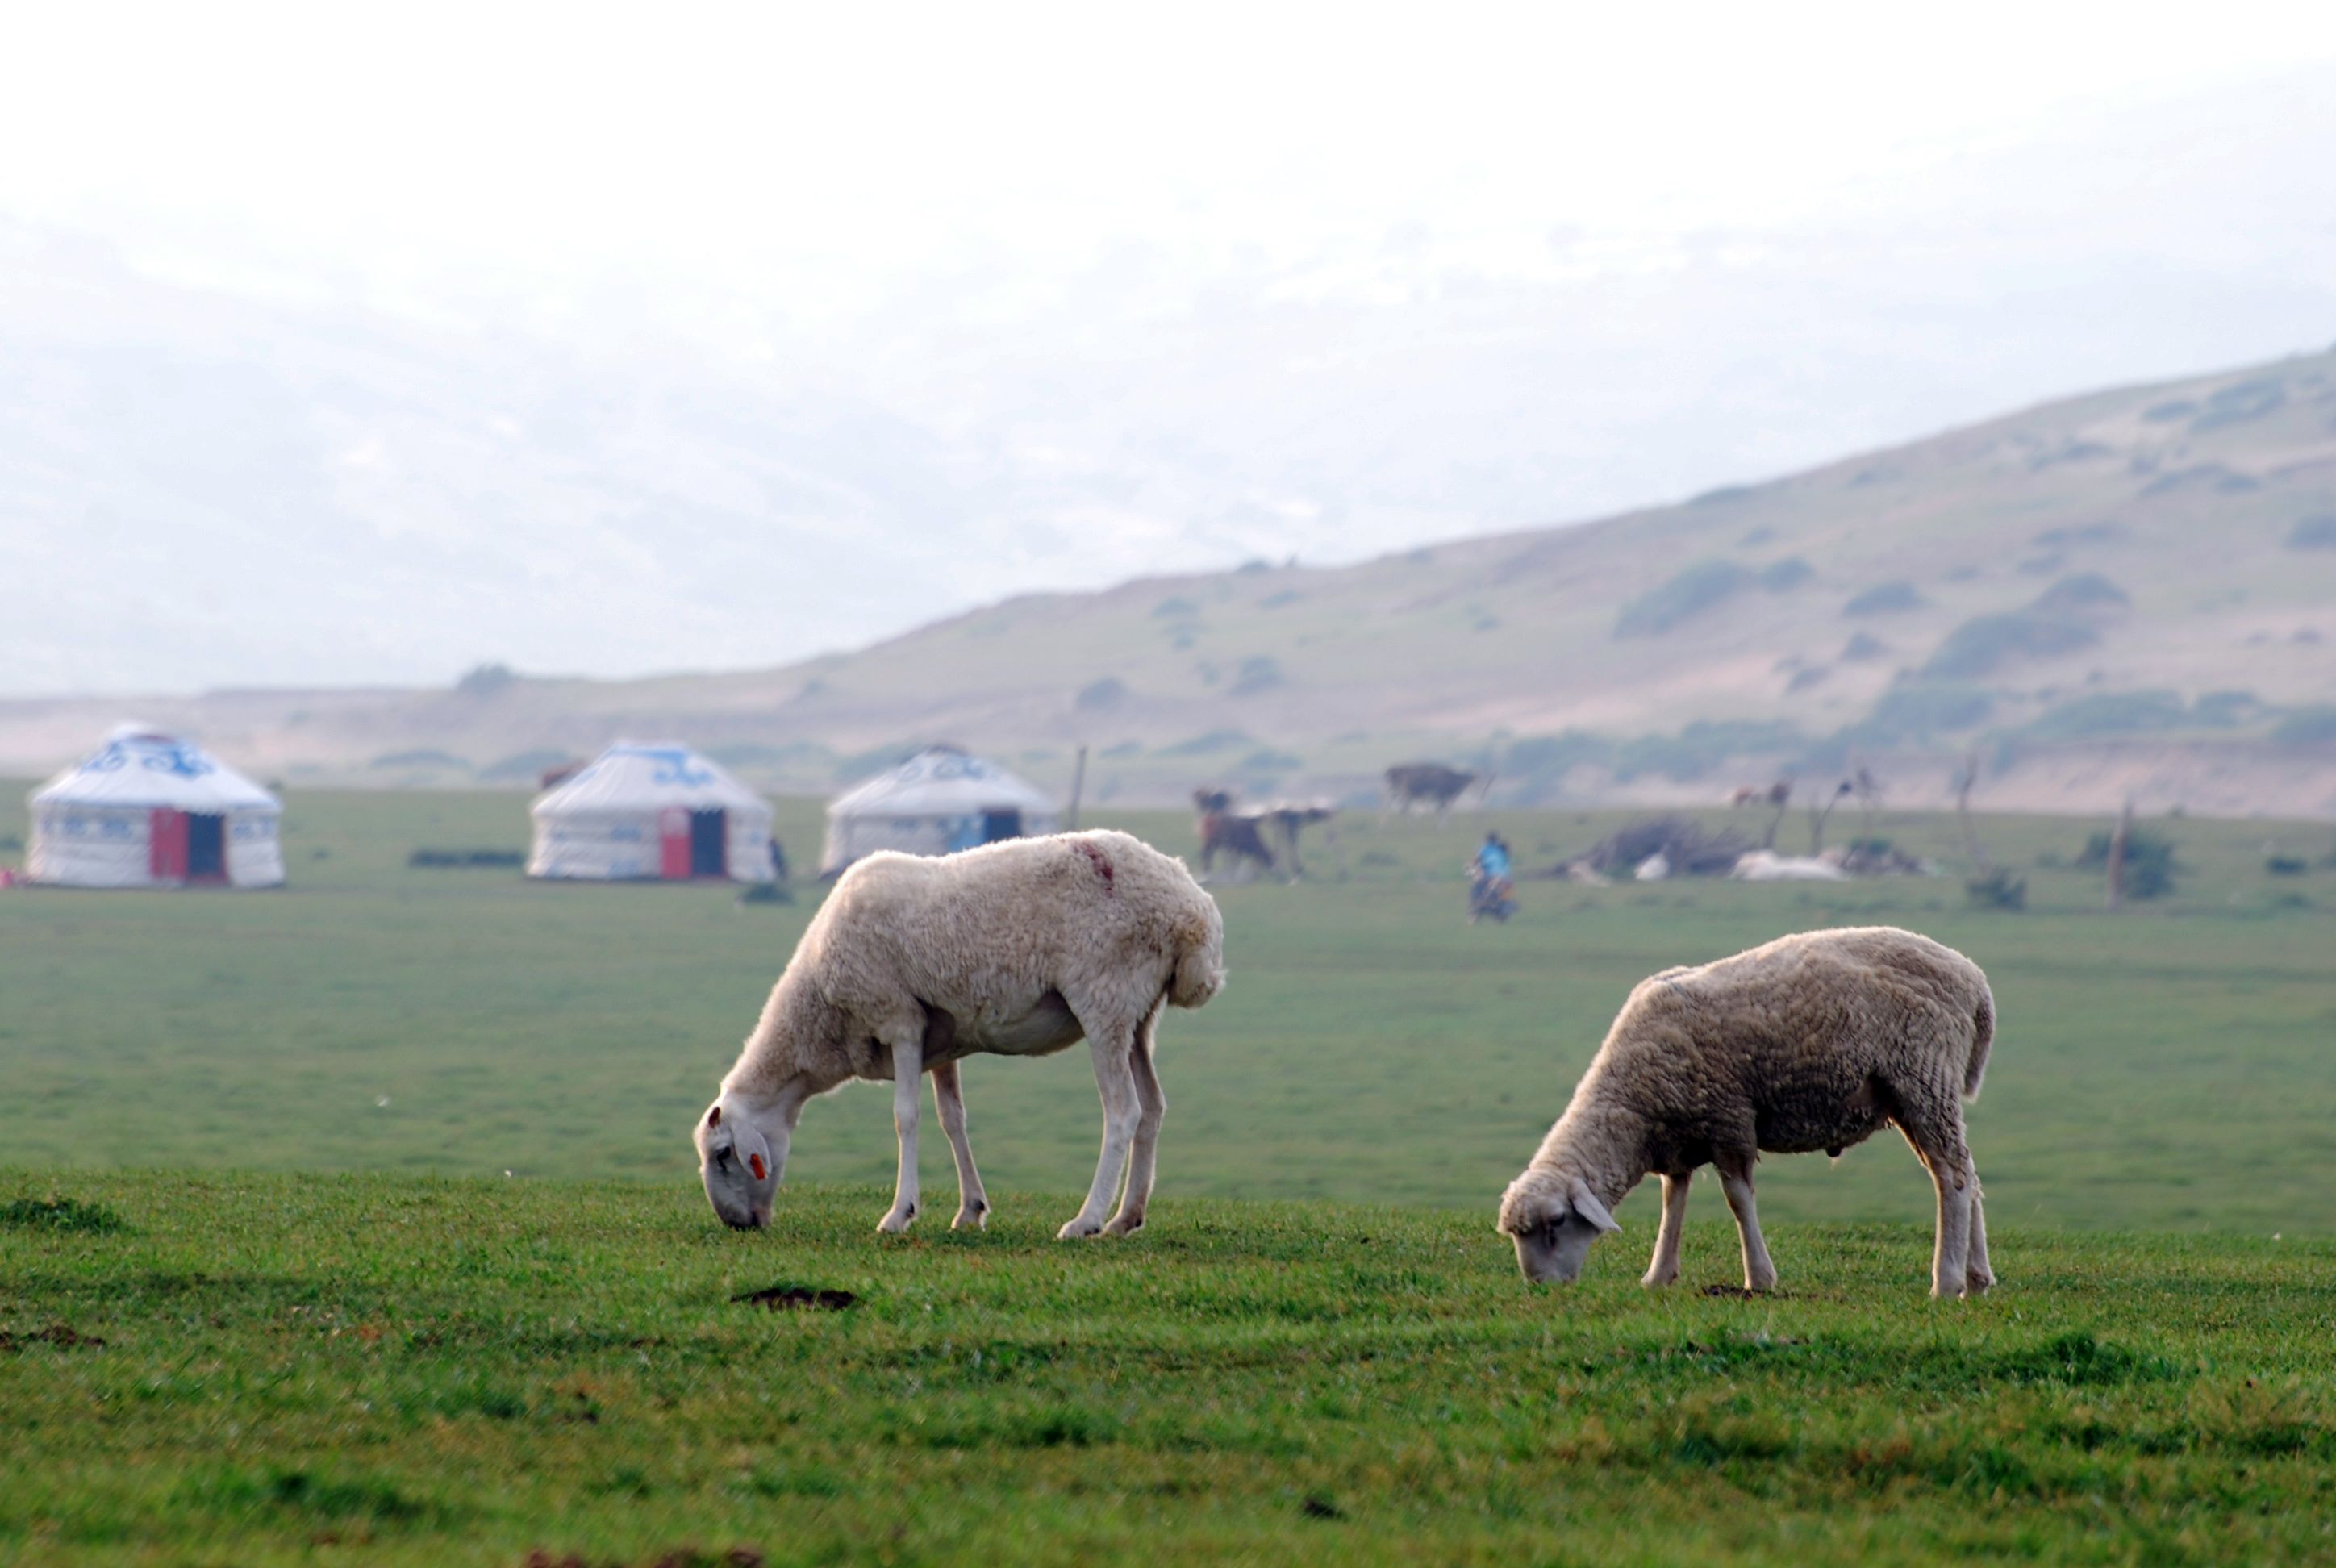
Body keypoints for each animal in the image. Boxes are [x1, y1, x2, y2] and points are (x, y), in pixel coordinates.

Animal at [694, 828, 1226, 1240]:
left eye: (723, 1155)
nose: (737, 1224)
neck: (819, 1013)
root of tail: (1193, 911)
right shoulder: (941, 1041)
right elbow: (953, 1119)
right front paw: (971, 1210)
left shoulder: (900, 1021)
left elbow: (905, 1117)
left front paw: (899, 1213)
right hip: (1139, 1014)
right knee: (1152, 1108)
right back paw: (1126, 1218)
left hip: (1104, 999)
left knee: (1122, 1112)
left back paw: (1087, 1221)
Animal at [1497, 926, 1996, 1299]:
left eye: (1557, 1222)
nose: (1541, 1286)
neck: (1631, 1104)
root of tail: (1973, 978)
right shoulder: (1680, 1135)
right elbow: (1673, 1202)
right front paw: (1659, 1275)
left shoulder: (1729, 1118)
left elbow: (1737, 1199)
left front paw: (1759, 1277)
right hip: (1917, 1093)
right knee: (1966, 1172)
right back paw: (1976, 1278)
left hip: (1923, 1077)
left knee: (1951, 1178)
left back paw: (1946, 1282)